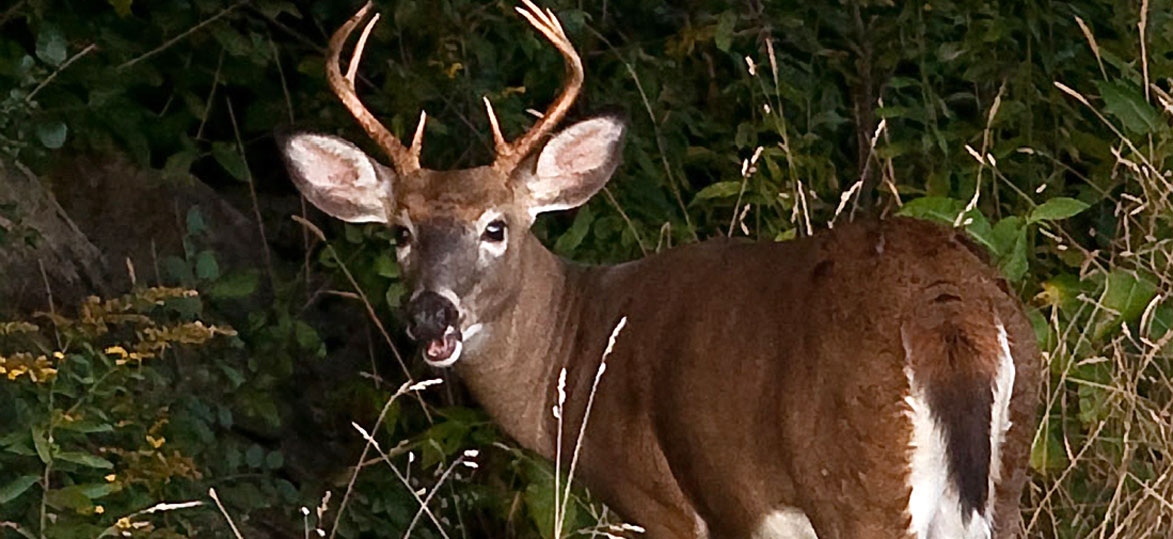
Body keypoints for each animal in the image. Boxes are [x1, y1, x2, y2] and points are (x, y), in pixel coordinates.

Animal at [279, 2, 1041, 536]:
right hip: (1008, 468)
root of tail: (947, 307)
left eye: (495, 227)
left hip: (856, 483)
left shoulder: (663, 502)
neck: (578, 350)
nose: (429, 313)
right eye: (400, 232)